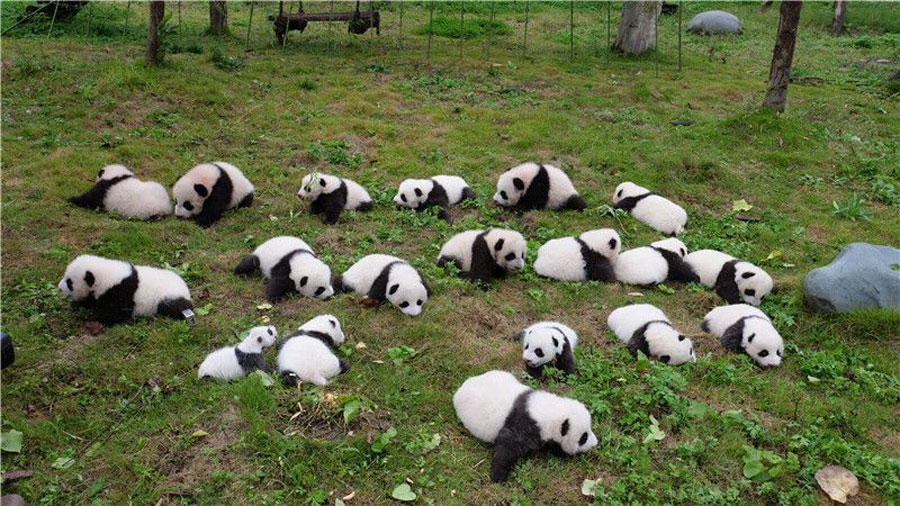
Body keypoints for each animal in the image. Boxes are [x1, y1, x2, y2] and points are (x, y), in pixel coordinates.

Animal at [58, 255, 193, 324]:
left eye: (69, 282)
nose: (59, 287)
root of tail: (186, 290)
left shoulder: (120, 292)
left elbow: (116, 314)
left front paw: (96, 318)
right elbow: (90, 299)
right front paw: (76, 305)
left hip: (168, 297)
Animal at [452, 370, 598, 483]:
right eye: (583, 437)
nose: (595, 443)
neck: (548, 411)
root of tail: (459, 391)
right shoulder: (523, 425)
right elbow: (506, 447)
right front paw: (498, 475)